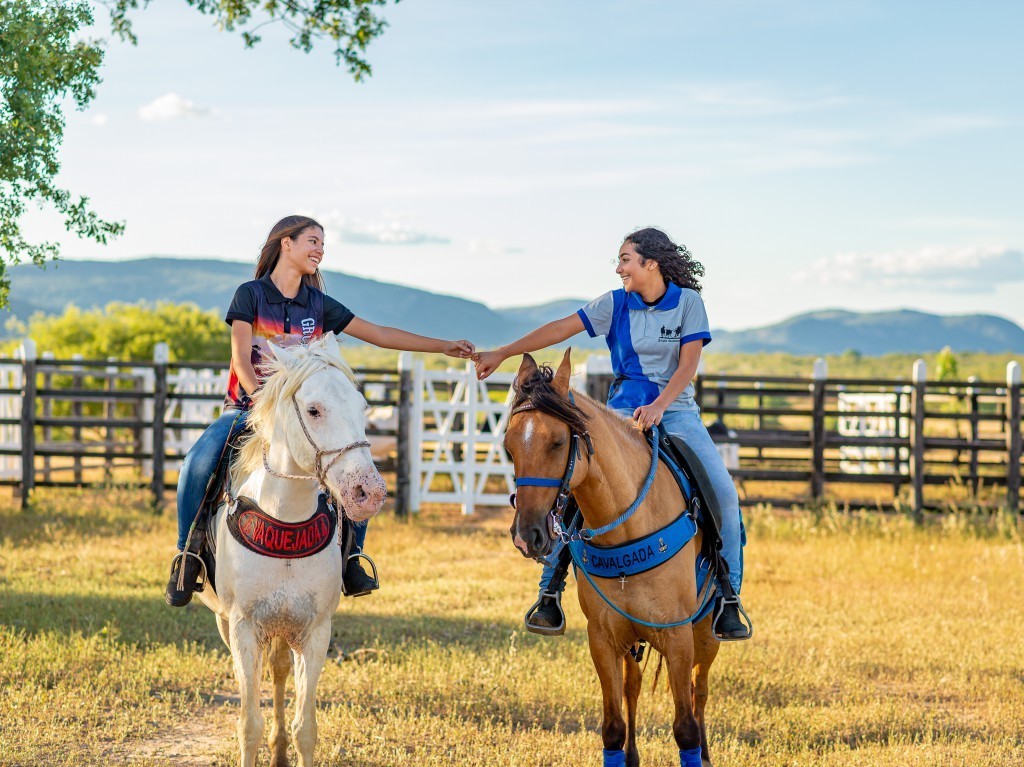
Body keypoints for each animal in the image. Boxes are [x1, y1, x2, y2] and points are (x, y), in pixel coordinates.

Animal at [196, 332, 387, 767]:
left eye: (362, 406)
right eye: (314, 410)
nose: (368, 492)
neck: (284, 519)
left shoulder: (315, 632)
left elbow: (306, 728)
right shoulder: (244, 627)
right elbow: (248, 725)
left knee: (280, 671)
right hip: (226, 622)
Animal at [505, 351, 722, 767]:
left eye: (558, 442)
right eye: (509, 447)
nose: (527, 535)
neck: (628, 531)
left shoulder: (679, 636)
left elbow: (685, 725)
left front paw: (696, 748)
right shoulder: (603, 640)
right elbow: (612, 726)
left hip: (706, 635)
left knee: (699, 691)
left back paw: (705, 753)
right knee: (633, 688)